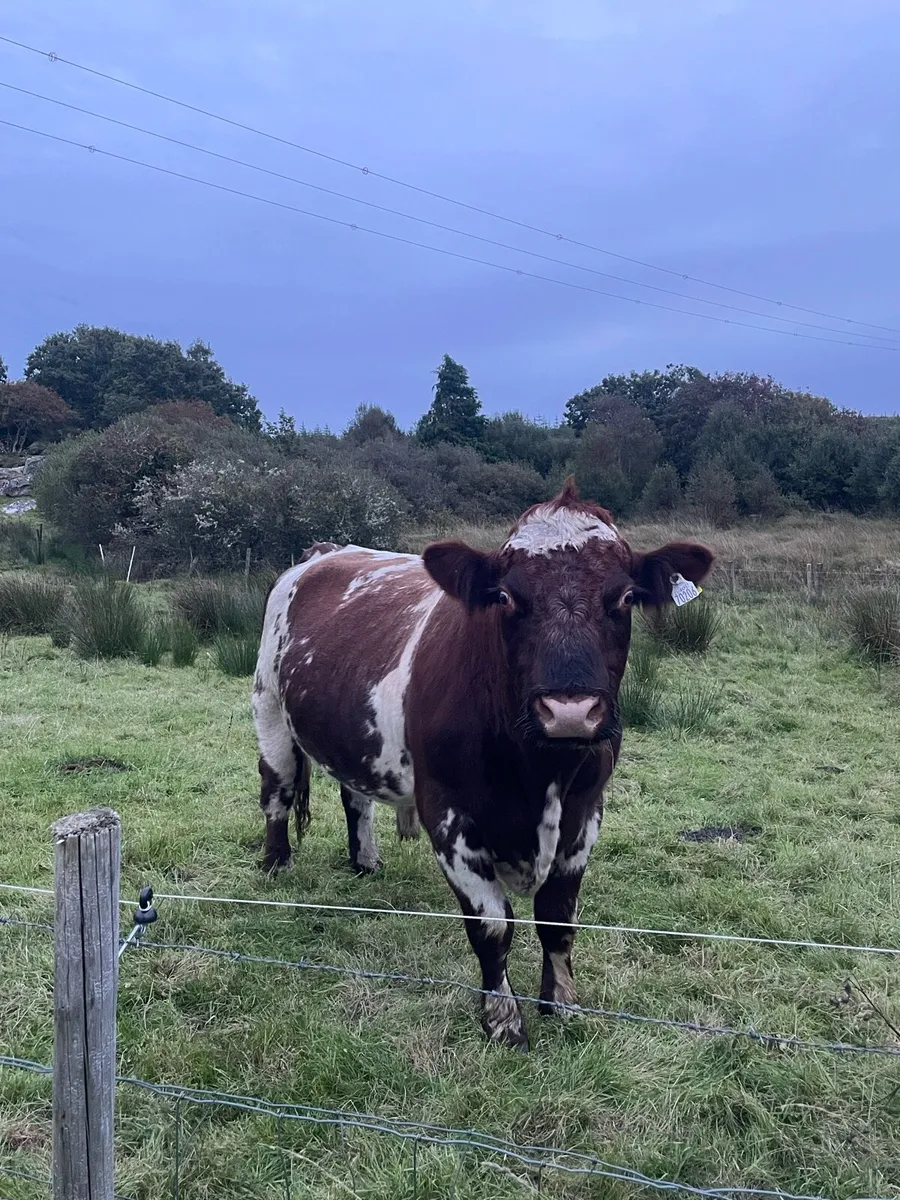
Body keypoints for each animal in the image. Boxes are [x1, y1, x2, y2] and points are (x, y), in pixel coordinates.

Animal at [252, 480, 713, 1048]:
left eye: (625, 598)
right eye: (507, 597)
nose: (570, 710)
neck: (536, 774)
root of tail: (324, 552)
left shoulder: (586, 809)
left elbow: (557, 918)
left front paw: (562, 1004)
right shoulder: (448, 812)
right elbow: (492, 925)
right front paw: (503, 1019)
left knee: (354, 794)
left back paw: (365, 862)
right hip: (269, 707)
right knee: (277, 791)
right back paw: (277, 862)